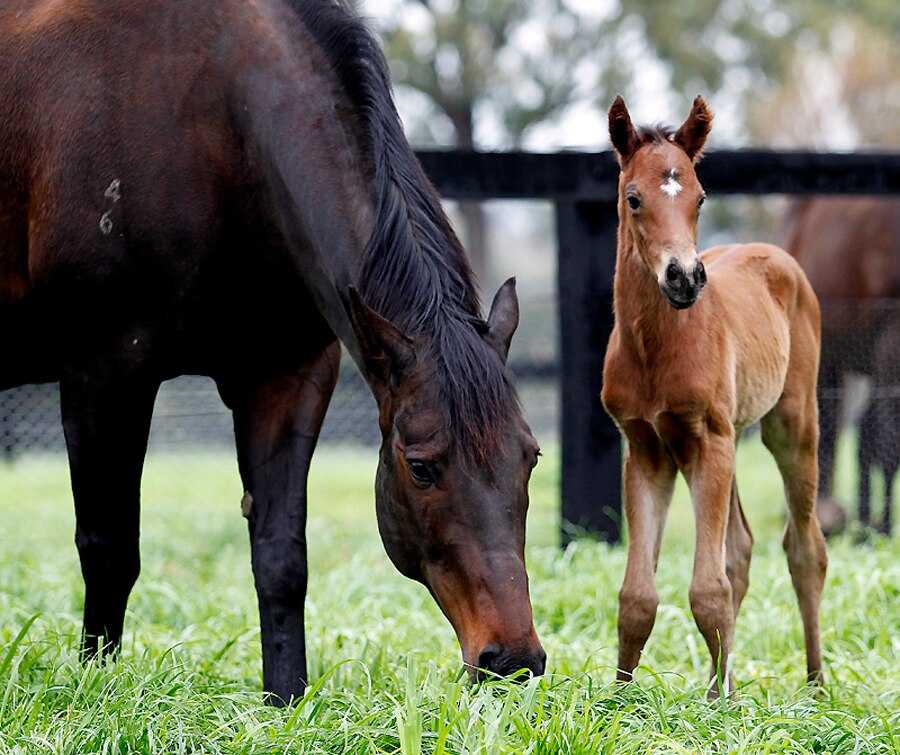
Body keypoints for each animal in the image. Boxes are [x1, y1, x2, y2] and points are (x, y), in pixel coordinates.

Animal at [0, 0, 544, 704]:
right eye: (421, 468)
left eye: (531, 458)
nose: (514, 659)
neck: (215, 116)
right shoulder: (102, 375)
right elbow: (109, 549)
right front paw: (97, 694)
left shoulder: (288, 379)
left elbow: (281, 556)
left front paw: (284, 698)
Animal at [600, 96, 828, 696]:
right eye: (634, 198)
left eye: (700, 196)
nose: (684, 277)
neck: (655, 349)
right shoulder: (646, 449)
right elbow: (636, 595)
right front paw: (618, 700)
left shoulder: (707, 439)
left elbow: (708, 588)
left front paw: (724, 705)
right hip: (725, 437)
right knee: (741, 548)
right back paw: (712, 682)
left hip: (787, 428)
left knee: (804, 550)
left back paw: (817, 685)